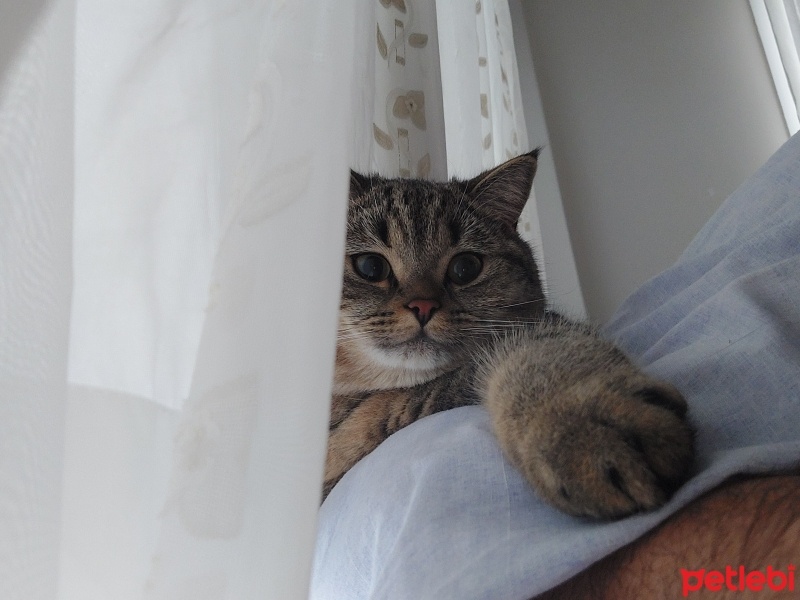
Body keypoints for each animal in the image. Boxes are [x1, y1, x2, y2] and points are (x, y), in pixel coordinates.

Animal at [324, 148, 692, 516]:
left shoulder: (536, 329)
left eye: (465, 268)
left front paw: (575, 424)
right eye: (370, 266)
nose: (423, 306)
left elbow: (535, 357)